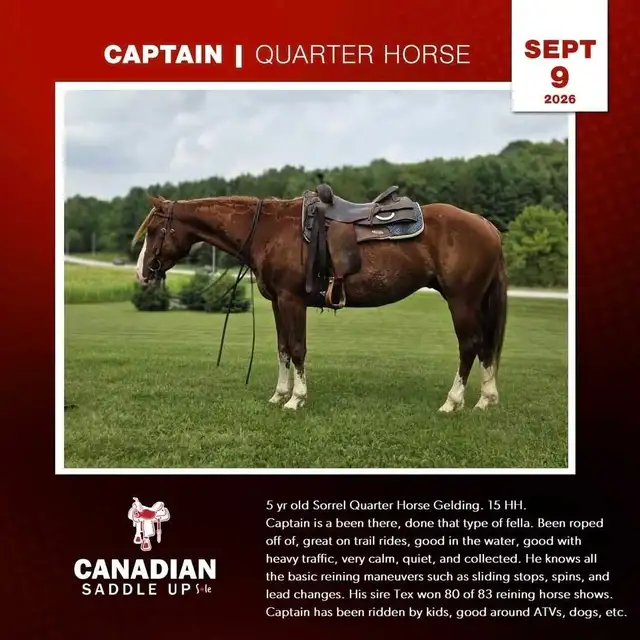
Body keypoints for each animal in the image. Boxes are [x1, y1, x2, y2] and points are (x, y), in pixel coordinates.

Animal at [132, 185, 507, 413]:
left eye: (156, 230)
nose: (142, 273)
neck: (269, 231)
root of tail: (486, 225)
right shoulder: (277, 302)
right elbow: (283, 348)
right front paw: (279, 394)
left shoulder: (292, 300)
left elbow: (298, 348)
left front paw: (296, 399)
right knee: (485, 347)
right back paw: (486, 399)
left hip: (462, 301)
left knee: (470, 346)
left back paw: (453, 402)